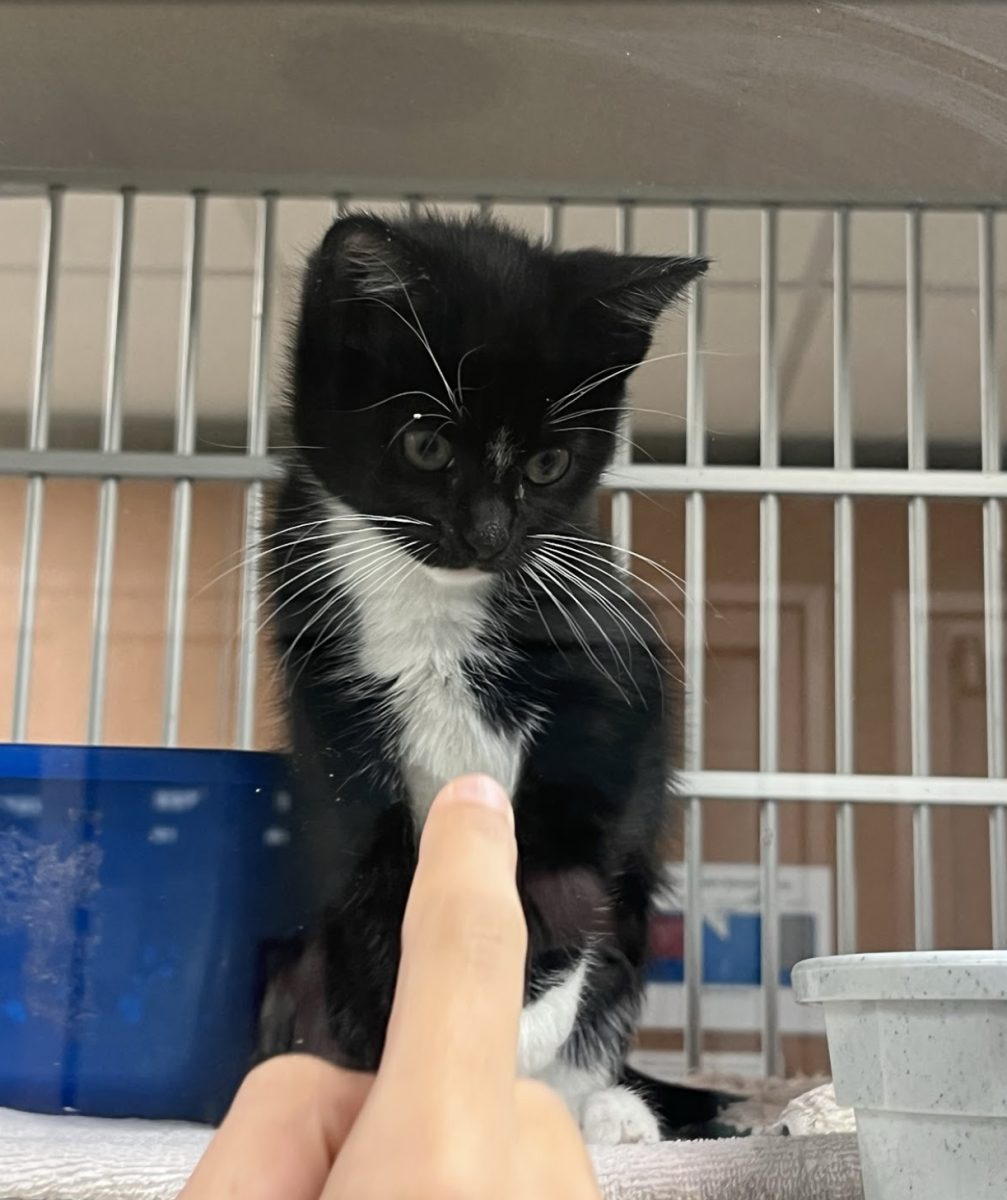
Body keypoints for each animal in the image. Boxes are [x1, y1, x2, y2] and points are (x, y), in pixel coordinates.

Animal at [261, 211, 710, 1147]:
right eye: (427, 444)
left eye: (546, 466)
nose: (490, 535)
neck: (433, 597)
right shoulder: (324, 699)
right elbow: (369, 864)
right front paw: (404, 1040)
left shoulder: (611, 674)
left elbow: (575, 847)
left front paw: (519, 1016)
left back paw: (605, 1112)